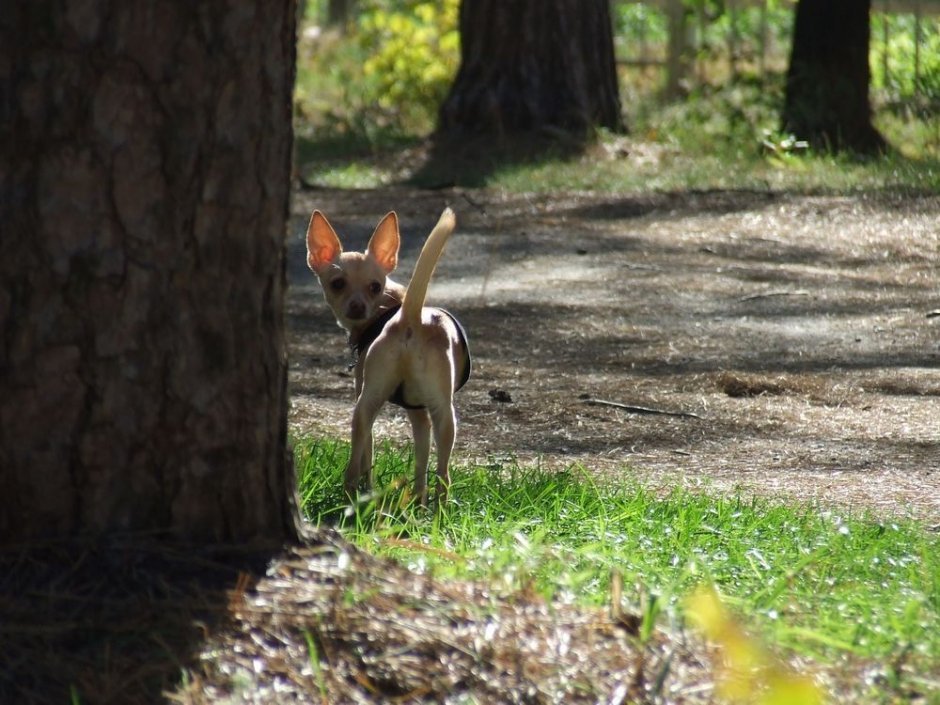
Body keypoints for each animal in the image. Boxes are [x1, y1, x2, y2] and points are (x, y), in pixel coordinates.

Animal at [306, 206, 470, 504]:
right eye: (338, 284)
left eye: (375, 286)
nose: (357, 307)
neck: (392, 306)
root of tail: (410, 319)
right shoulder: (422, 413)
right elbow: (422, 464)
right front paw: (419, 503)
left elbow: (381, 460)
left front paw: (394, 496)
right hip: (445, 416)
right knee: (443, 474)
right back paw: (439, 509)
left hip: (363, 407)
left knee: (354, 466)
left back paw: (353, 502)